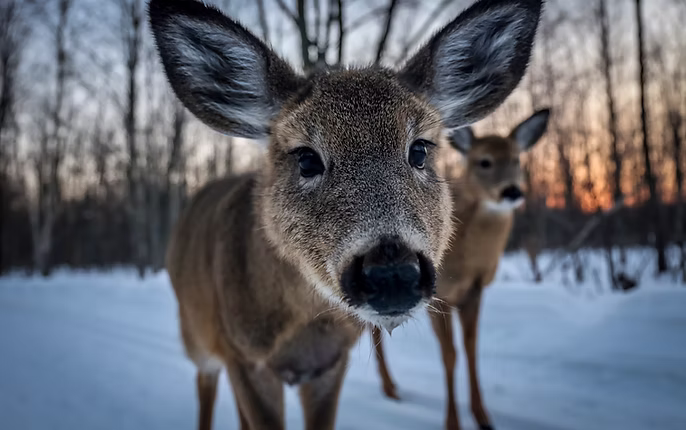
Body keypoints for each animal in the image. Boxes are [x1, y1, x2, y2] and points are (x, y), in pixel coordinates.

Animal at [372, 108, 551, 430]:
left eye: (517, 159)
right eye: (484, 161)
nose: (512, 191)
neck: (464, 259)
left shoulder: (474, 290)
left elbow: (471, 349)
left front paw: (483, 416)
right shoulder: (439, 295)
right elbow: (449, 354)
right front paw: (453, 421)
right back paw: (388, 388)